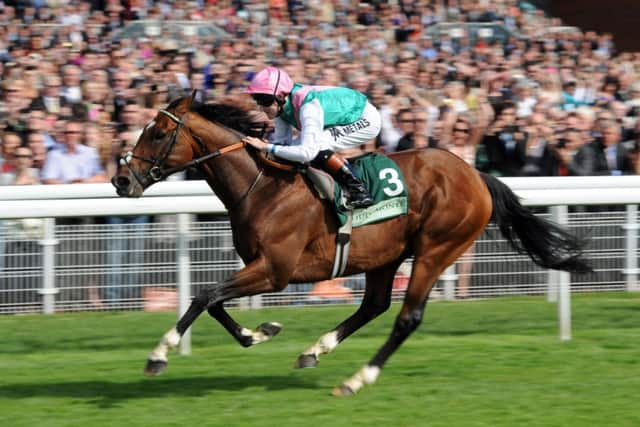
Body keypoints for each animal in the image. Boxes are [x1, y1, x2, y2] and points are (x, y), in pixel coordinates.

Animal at [111, 93, 592, 398]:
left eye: (157, 133)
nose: (120, 180)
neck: (263, 186)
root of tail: (475, 174)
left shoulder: (275, 270)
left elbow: (204, 295)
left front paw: (158, 355)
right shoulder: (258, 266)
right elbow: (214, 302)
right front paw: (260, 332)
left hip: (437, 248)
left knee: (406, 318)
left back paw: (357, 379)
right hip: (386, 255)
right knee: (374, 305)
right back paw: (314, 351)